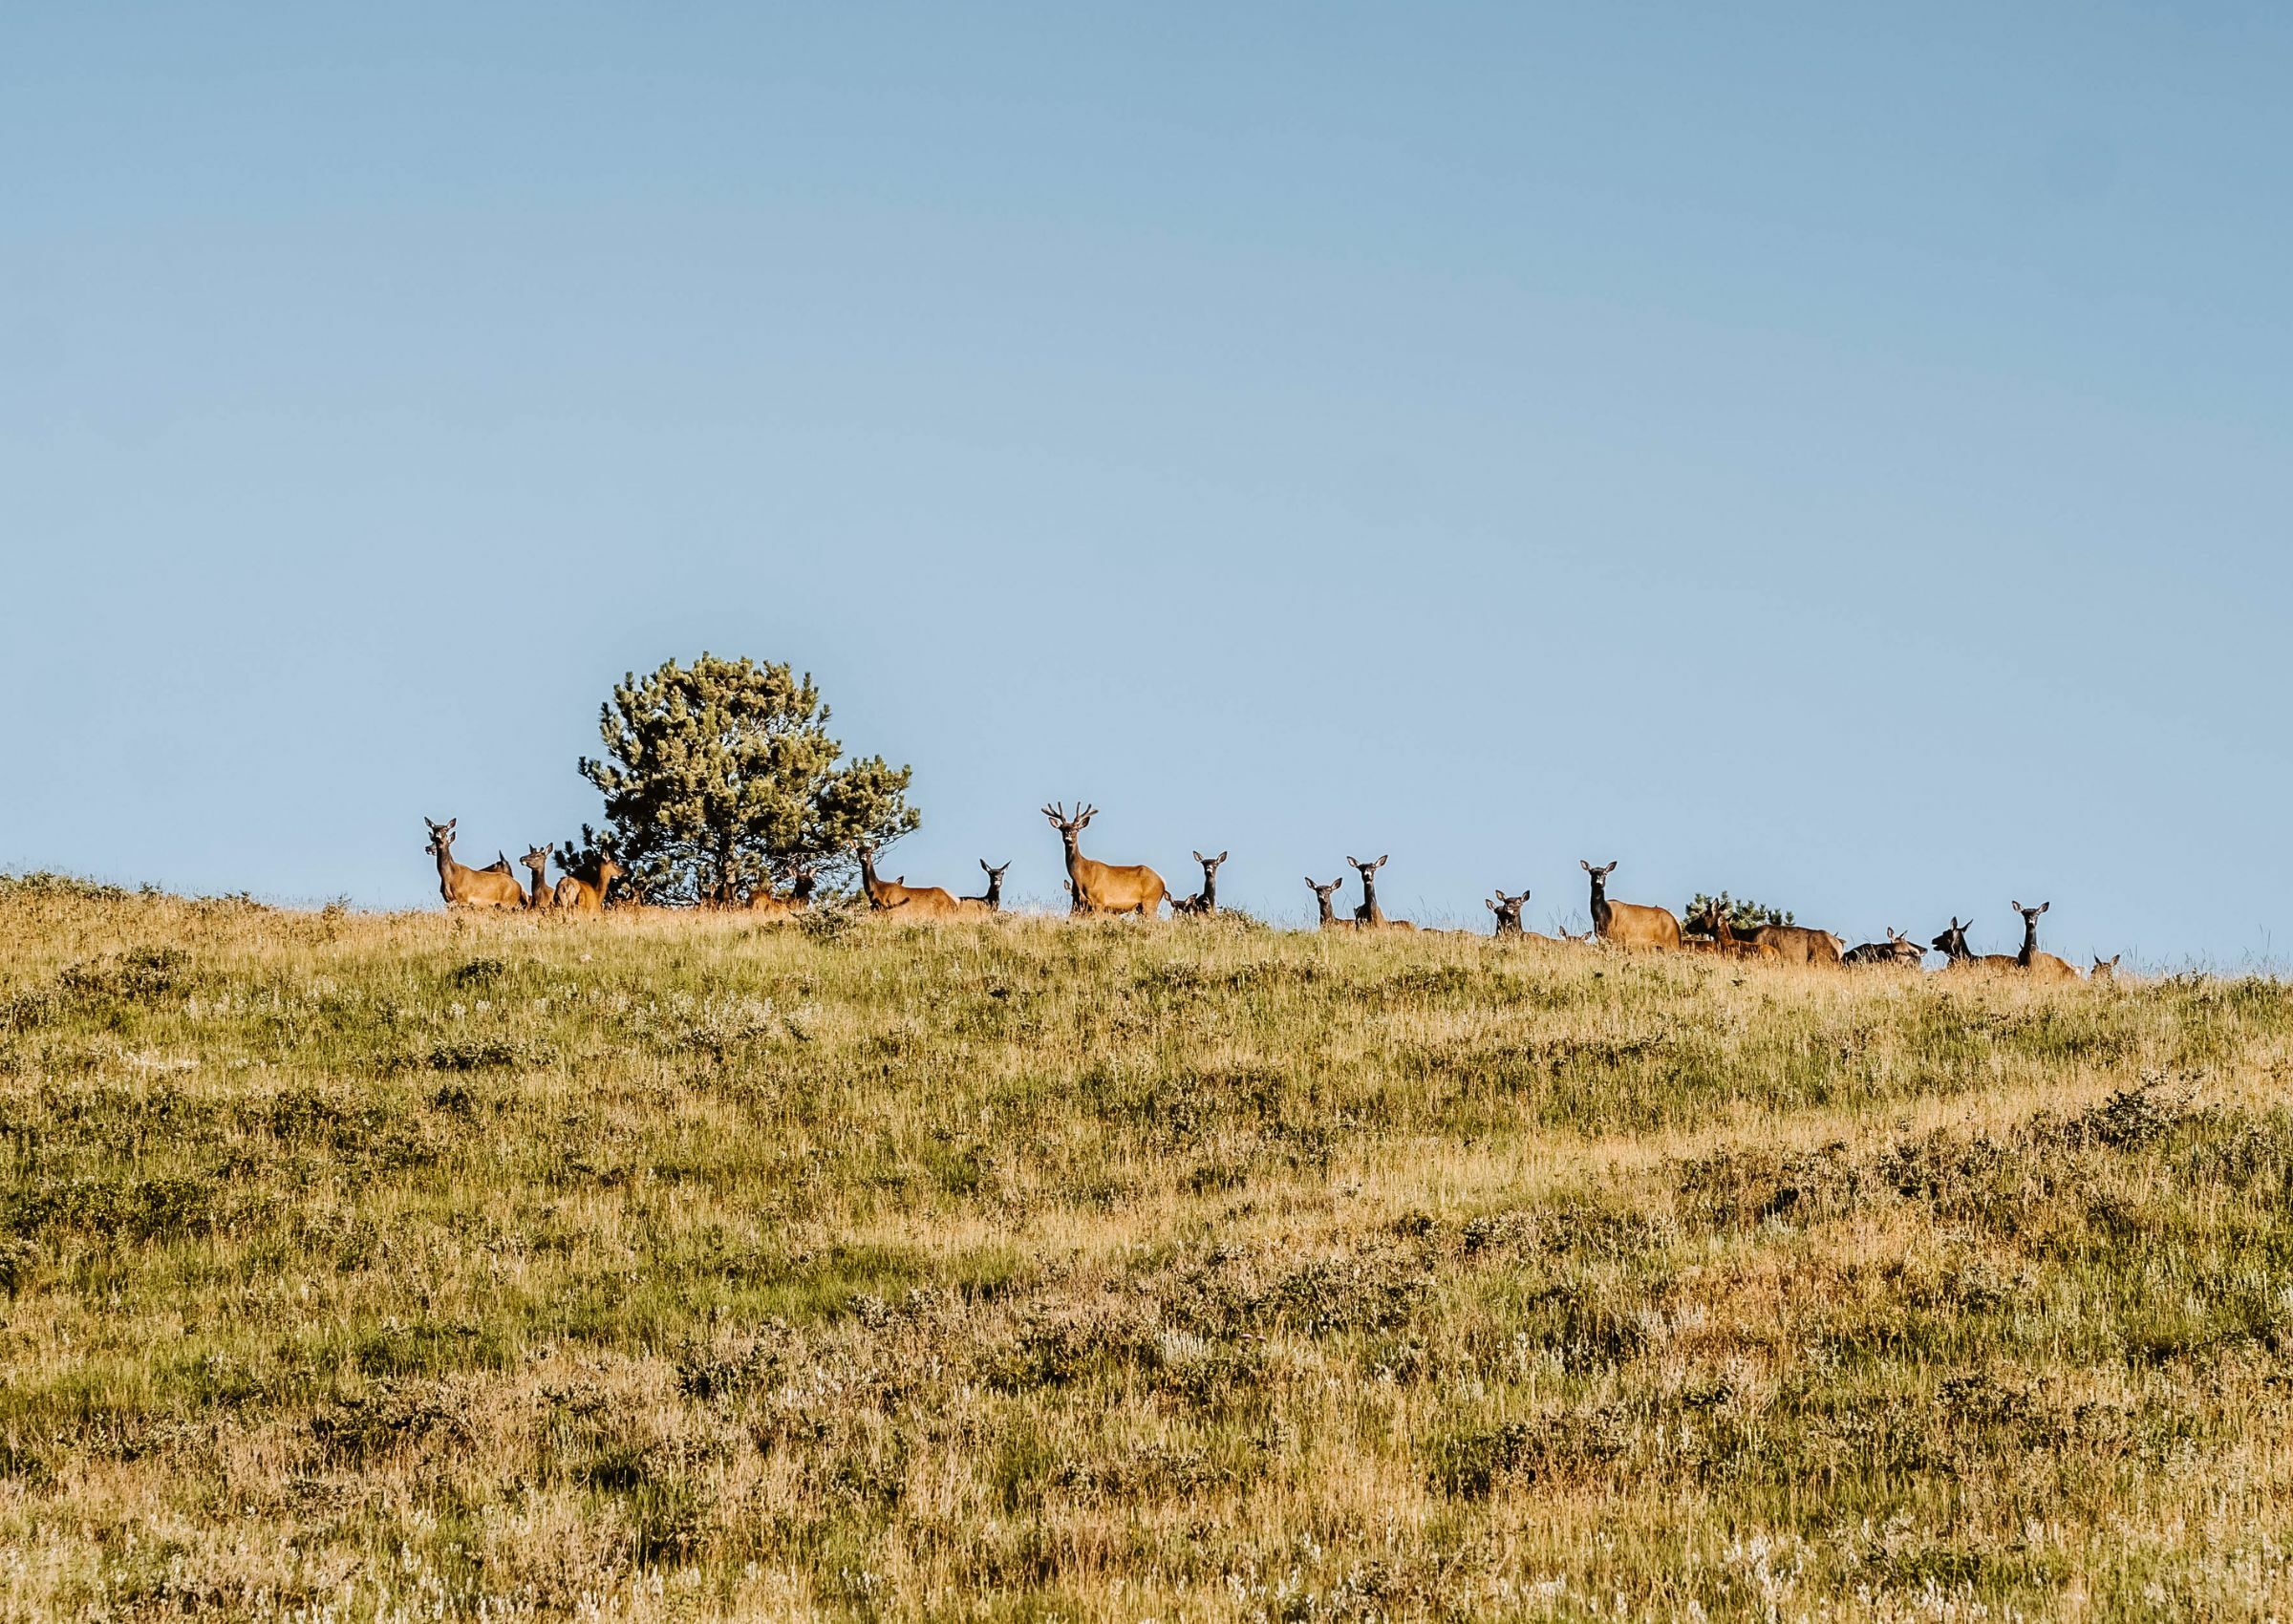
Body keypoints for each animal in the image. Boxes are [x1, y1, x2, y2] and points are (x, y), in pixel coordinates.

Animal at [1042, 803, 1166, 916]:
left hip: (1150, 901)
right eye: (1062, 829)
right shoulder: (1082, 903)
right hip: (1141, 907)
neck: (1083, 875)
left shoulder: (1099, 901)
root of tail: (1162, 882)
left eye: (1077, 829)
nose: (1068, 835)